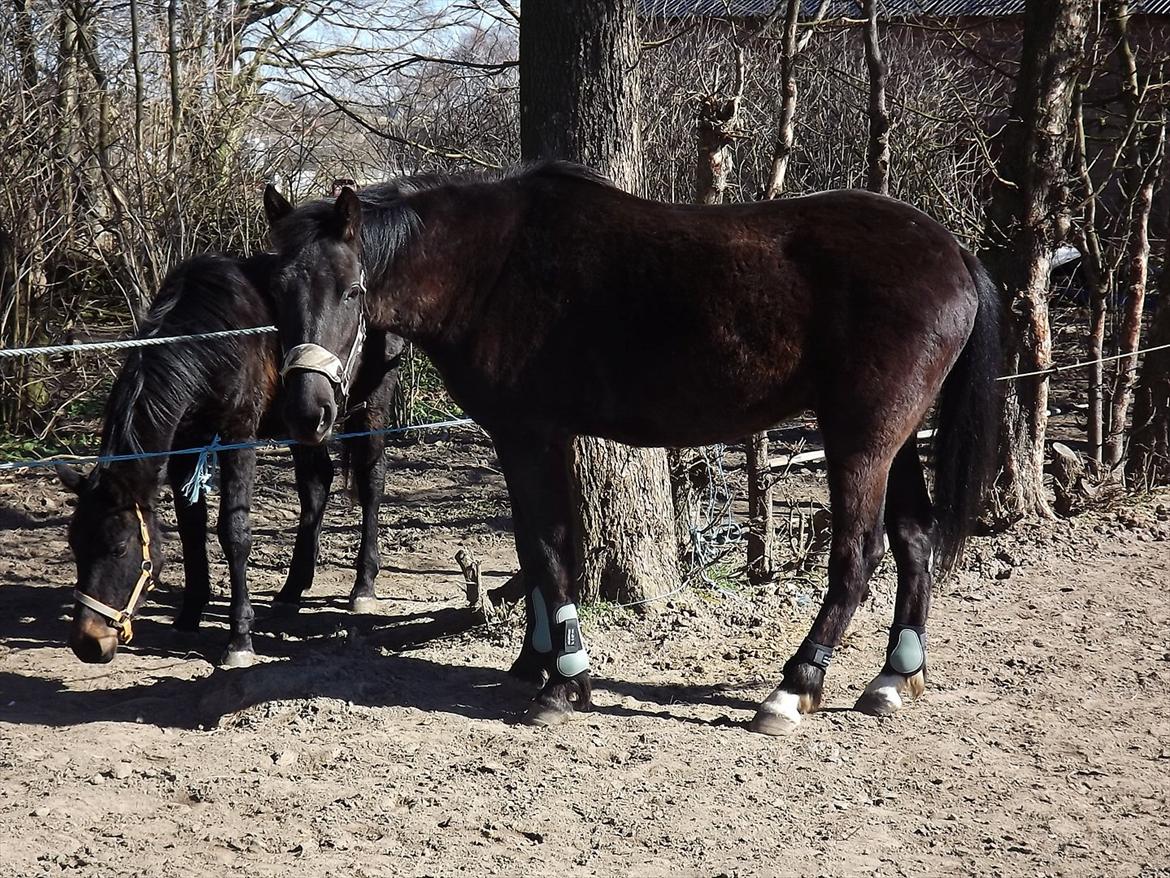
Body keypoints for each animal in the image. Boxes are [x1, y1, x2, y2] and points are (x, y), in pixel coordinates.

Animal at [57, 252, 404, 664]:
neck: (211, 336)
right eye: (75, 546)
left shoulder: (239, 437)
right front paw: (190, 615)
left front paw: (239, 638)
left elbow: (233, 531)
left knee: (371, 480)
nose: (88, 643)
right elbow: (191, 528)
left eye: (118, 549)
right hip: (305, 421)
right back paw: (293, 587)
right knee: (317, 483)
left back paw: (363, 585)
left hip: (373, 404)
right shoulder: (186, 445)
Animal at [263, 163, 996, 735]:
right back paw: (893, 678)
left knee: (857, 555)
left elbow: (552, 546)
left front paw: (566, 680)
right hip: (894, 440)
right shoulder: (522, 438)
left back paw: (794, 689)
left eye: (352, 290)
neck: (490, 267)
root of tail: (956, 252)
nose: (307, 411)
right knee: (915, 538)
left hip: (861, 440)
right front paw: (535, 659)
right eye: (276, 291)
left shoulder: (533, 434)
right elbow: (532, 547)